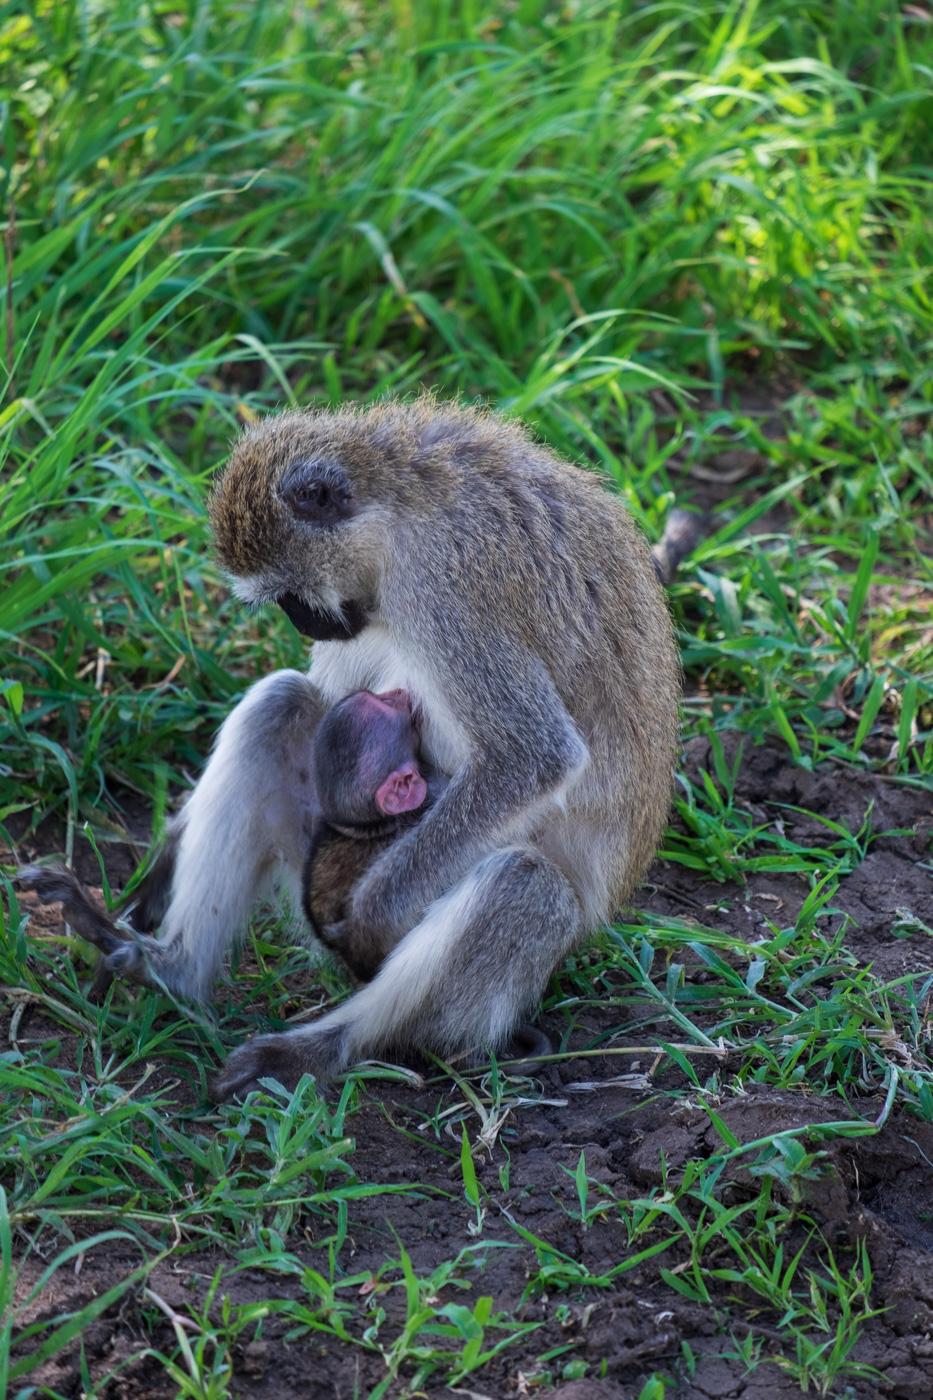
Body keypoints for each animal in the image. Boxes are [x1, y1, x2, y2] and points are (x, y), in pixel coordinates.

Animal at [21, 399, 682, 1100]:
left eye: (290, 592)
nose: (305, 622)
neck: (402, 495)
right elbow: (330, 696)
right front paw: (163, 862)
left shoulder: (445, 582)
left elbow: (533, 755)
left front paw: (371, 916)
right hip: (309, 861)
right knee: (281, 703)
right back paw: (166, 969)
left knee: (522, 883)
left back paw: (318, 1046)